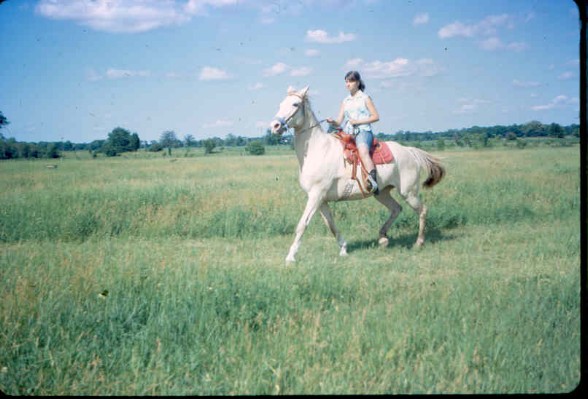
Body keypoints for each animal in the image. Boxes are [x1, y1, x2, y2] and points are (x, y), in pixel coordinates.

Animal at [268, 86, 444, 264]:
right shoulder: (321, 199)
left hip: (409, 192)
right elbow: (331, 224)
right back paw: (383, 238)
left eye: (295, 104)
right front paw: (344, 248)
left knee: (422, 210)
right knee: (396, 208)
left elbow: (302, 224)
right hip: (382, 193)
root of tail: (409, 151)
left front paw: (290, 257)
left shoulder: (316, 195)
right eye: (280, 104)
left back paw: (418, 242)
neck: (318, 150)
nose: (275, 126)